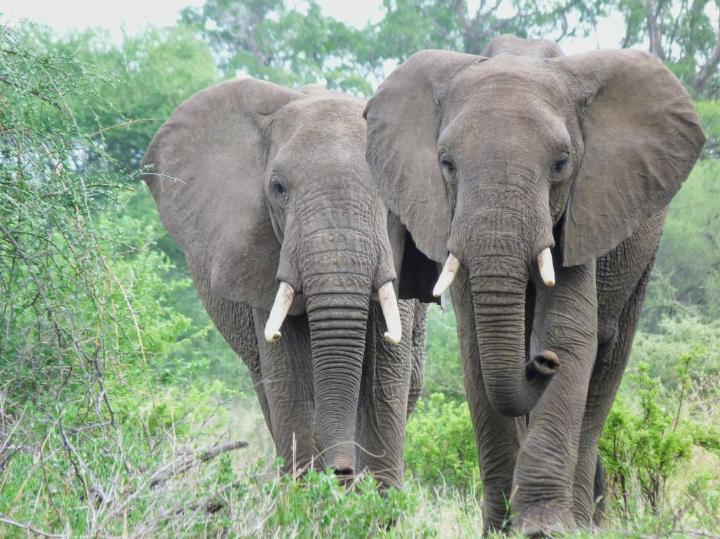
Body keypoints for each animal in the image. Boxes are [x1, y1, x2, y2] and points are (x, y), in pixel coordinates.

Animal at [140, 79, 429, 489]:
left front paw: (378, 500)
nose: (341, 470)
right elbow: (290, 380)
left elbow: (385, 376)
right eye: (277, 188)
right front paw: (308, 496)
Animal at [363, 35, 705, 533]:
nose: (541, 363)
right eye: (446, 164)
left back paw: (581, 521)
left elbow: (569, 332)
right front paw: (499, 529)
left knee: (606, 363)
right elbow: (475, 354)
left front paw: (544, 529)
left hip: (641, 251)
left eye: (561, 164)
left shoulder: (587, 205)